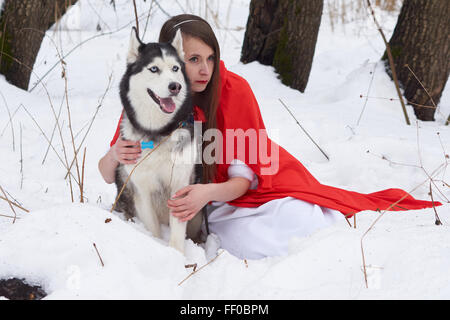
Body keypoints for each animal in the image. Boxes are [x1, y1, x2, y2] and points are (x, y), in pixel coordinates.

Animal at [115, 27, 201, 252]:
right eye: (154, 69)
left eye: (175, 68)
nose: (175, 86)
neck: (159, 133)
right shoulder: (142, 190)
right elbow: (153, 229)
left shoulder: (180, 188)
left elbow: (177, 235)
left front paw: (177, 255)